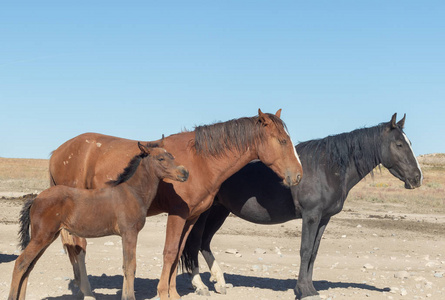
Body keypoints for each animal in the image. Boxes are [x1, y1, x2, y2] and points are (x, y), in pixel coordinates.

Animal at [7, 141, 187, 300]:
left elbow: (126, 266)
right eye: (161, 158)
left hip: (47, 237)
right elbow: (130, 267)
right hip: (42, 236)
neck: (132, 192)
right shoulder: (129, 233)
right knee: (20, 264)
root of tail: (35, 199)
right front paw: (129, 297)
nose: (184, 173)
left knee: (29, 267)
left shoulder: (127, 235)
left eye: (172, 156)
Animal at [50, 109, 304, 300]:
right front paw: (163, 292)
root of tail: (56, 153)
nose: (298, 175)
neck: (201, 161)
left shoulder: (191, 217)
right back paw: (87, 292)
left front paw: (173, 293)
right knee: (79, 246)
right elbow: (170, 252)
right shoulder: (177, 214)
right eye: (283, 141)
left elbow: (180, 250)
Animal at [180, 113, 420, 298]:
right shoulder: (311, 216)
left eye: (409, 143)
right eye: (399, 144)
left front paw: (311, 288)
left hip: (219, 211)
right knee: (194, 243)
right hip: (203, 214)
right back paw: (200, 286)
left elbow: (313, 252)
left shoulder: (323, 218)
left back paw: (219, 282)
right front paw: (303, 290)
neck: (327, 168)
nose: (417, 178)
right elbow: (305, 250)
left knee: (204, 243)